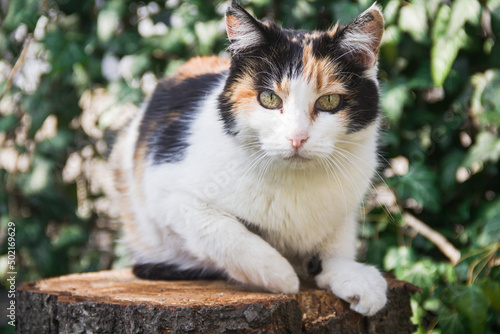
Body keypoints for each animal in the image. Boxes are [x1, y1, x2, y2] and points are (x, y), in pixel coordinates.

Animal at [111, 0, 388, 316]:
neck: (294, 181)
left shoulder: (345, 206)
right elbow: (224, 232)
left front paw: (352, 275)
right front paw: (281, 275)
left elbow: (337, 241)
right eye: (269, 98)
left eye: (329, 101)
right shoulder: (167, 195)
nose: (297, 138)